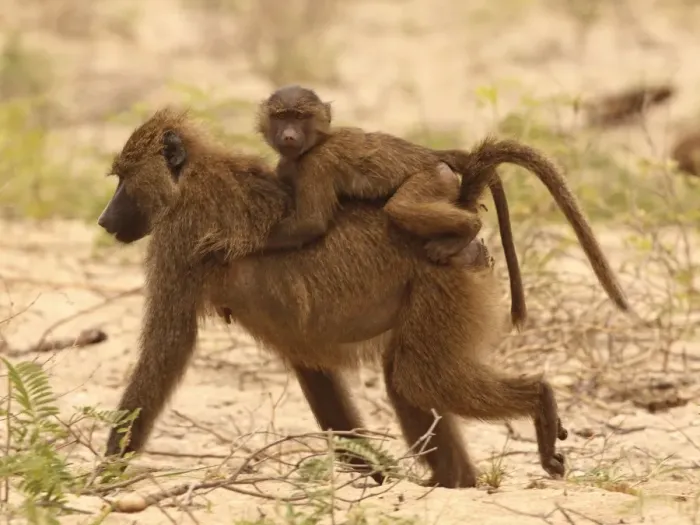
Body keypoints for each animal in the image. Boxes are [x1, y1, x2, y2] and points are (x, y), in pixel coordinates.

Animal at [97, 107, 570, 489]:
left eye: (123, 179)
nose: (103, 220)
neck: (190, 178)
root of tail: (460, 205)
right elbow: (315, 372)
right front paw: (378, 472)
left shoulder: (176, 239)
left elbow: (165, 350)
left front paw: (102, 477)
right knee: (404, 378)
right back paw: (454, 482)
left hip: (442, 281)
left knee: (419, 377)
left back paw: (539, 400)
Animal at [254, 85, 629, 328]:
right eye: (281, 117)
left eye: (299, 116)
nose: (289, 135)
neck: (312, 145)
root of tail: (436, 156)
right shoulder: (289, 166)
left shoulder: (316, 165)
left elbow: (311, 224)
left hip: (432, 179)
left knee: (402, 208)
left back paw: (463, 233)